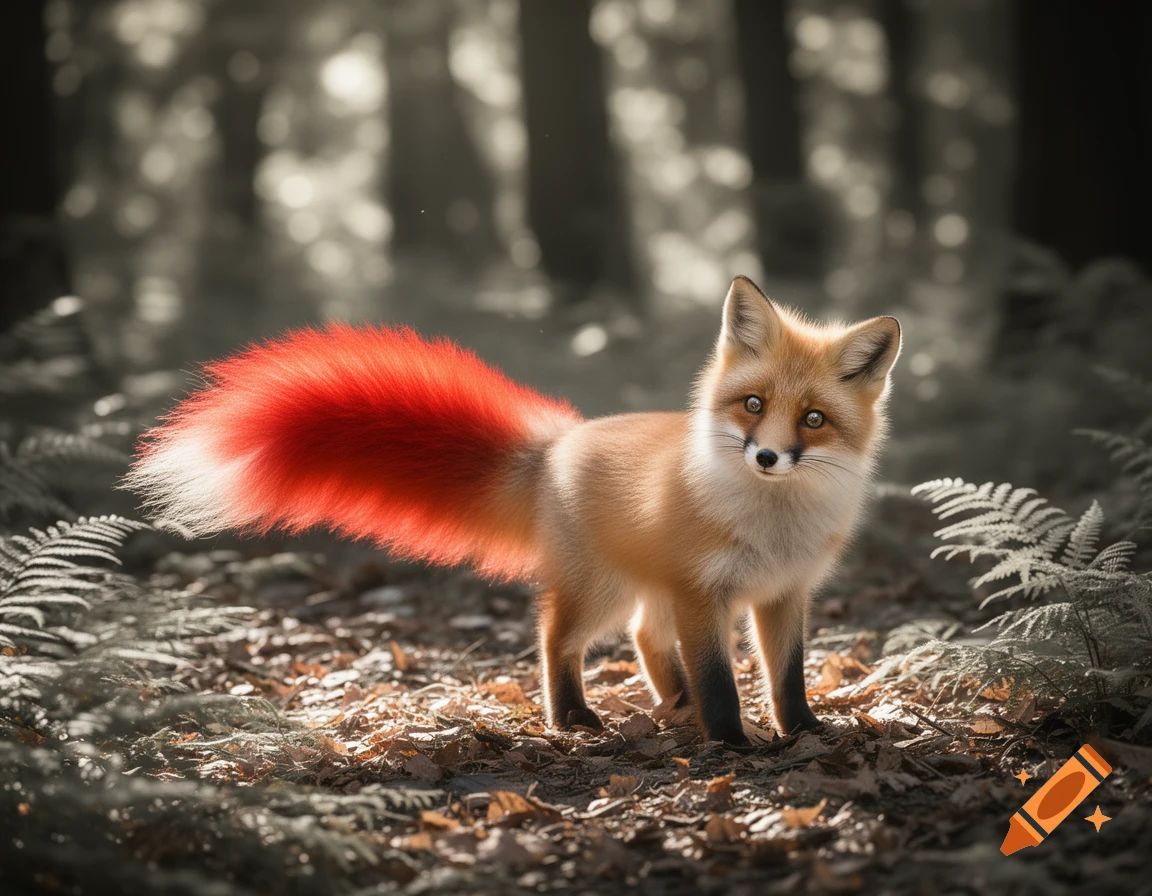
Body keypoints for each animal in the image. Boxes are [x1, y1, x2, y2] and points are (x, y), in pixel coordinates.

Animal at [125, 276, 901, 746]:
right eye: (752, 404)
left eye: (813, 419)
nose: (767, 456)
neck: (771, 523)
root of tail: (556, 445)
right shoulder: (705, 596)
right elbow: (719, 682)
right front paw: (733, 743)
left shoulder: (782, 594)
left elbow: (787, 677)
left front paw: (803, 733)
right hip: (603, 592)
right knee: (556, 638)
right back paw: (576, 718)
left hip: (645, 591)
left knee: (645, 640)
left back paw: (670, 708)